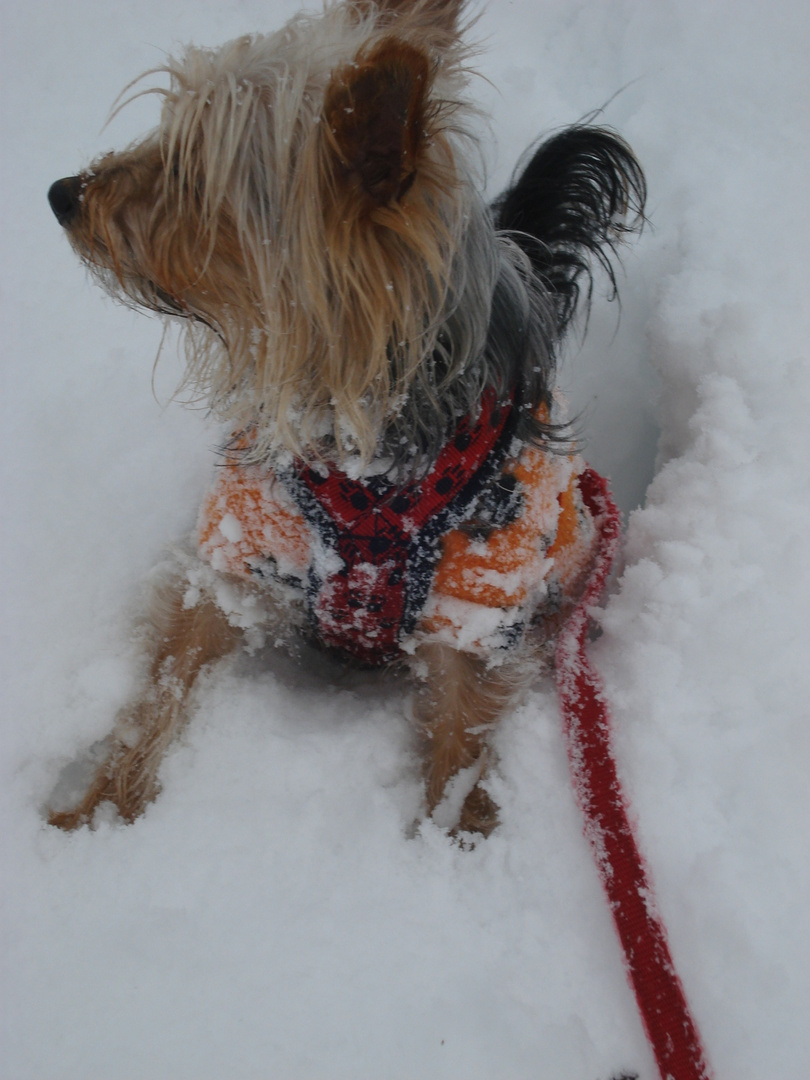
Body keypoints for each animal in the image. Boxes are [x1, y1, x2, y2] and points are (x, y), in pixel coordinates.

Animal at [49, 0, 648, 833]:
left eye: (190, 175)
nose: (61, 193)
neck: (368, 459)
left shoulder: (478, 602)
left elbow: (461, 738)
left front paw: (454, 843)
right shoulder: (239, 553)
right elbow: (165, 682)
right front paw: (97, 812)